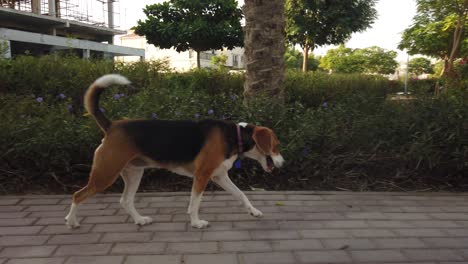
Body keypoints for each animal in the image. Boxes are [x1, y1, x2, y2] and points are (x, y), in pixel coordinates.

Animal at [65, 74, 286, 229]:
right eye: (276, 146)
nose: (283, 163)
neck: (236, 135)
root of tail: (112, 126)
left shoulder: (219, 176)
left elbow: (241, 195)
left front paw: (254, 211)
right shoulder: (202, 176)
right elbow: (195, 203)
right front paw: (196, 223)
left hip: (134, 173)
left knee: (125, 200)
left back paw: (140, 220)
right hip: (105, 175)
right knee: (77, 195)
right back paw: (71, 221)